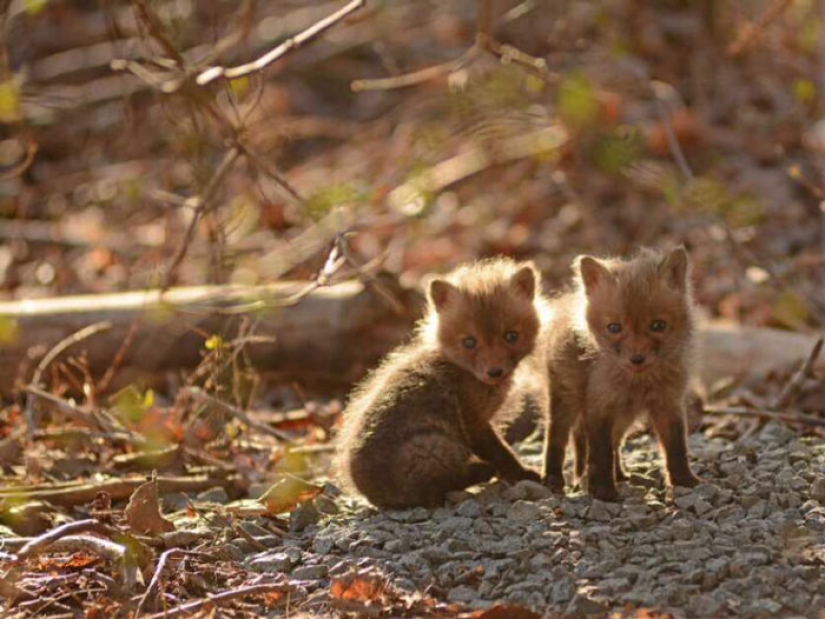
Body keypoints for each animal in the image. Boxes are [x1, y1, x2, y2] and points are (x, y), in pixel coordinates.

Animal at [336, 258, 546, 509]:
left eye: (511, 336)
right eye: (469, 342)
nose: (494, 372)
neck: (460, 369)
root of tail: (371, 495)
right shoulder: (473, 421)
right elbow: (499, 452)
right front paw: (522, 473)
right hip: (437, 445)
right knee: (436, 490)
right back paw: (480, 472)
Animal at [542, 246, 701, 501]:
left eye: (658, 325)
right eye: (614, 328)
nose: (636, 359)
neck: (639, 383)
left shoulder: (668, 404)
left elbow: (676, 447)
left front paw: (684, 481)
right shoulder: (599, 406)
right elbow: (600, 453)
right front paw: (604, 491)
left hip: (624, 416)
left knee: (614, 442)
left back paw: (618, 474)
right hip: (566, 400)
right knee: (557, 438)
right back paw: (554, 479)